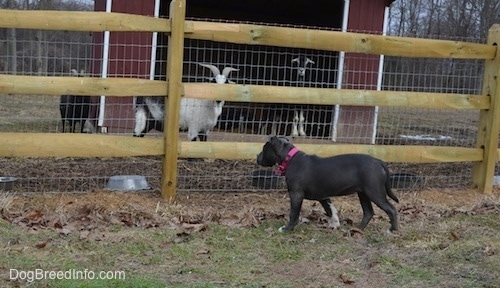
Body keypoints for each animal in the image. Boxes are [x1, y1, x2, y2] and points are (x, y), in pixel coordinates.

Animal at [256, 136, 400, 233]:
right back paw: (357, 229)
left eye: (264, 148)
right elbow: (330, 209)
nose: (257, 157)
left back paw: (392, 230)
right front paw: (335, 223)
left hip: (374, 192)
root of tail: (378, 161)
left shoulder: (296, 194)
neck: (289, 158)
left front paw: (287, 228)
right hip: (363, 193)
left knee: (391, 209)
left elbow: (294, 213)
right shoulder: (322, 196)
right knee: (368, 212)